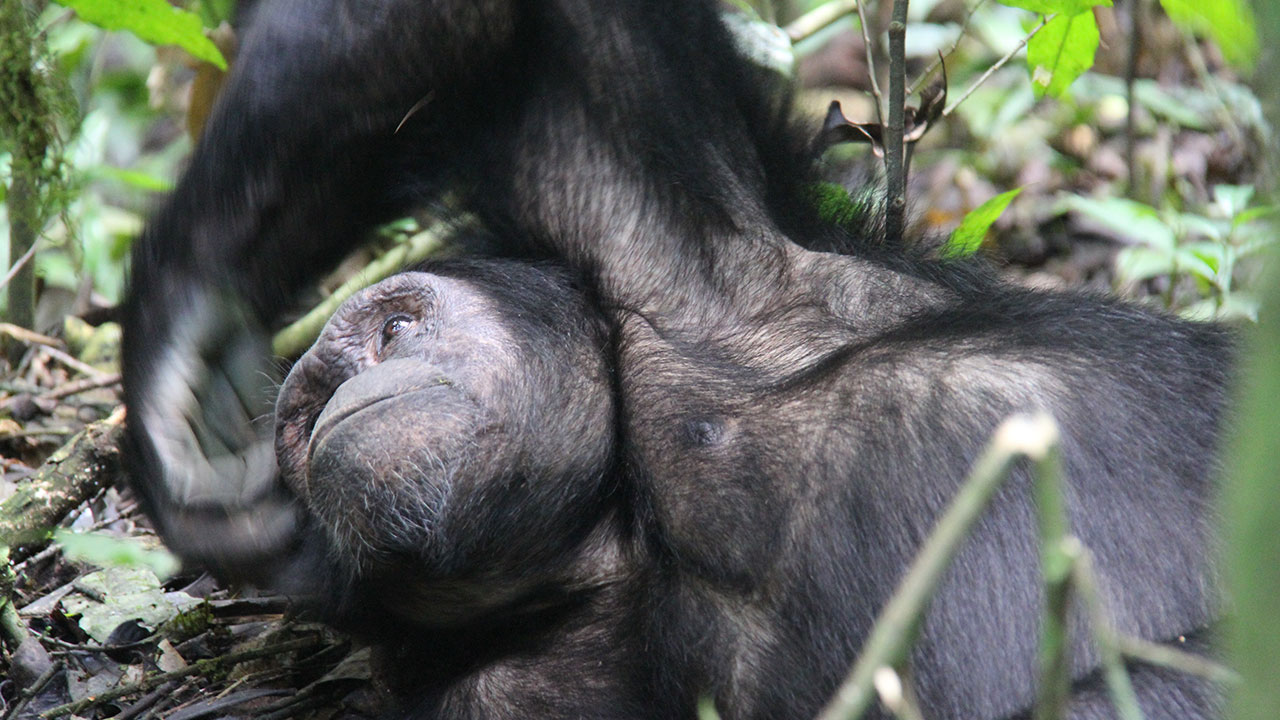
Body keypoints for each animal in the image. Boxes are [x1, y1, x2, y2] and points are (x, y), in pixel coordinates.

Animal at [120, 1, 1228, 717]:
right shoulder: (505, 696)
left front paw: (182, 335)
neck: (621, 529)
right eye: (307, 414)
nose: (337, 382)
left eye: (394, 329)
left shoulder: (676, 254)